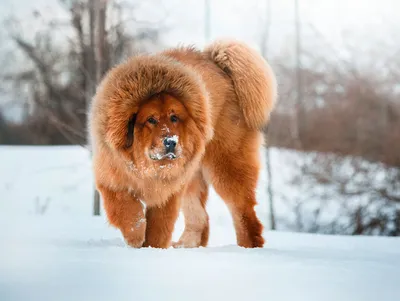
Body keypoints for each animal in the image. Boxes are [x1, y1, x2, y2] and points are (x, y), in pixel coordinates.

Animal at [88, 38, 276, 247]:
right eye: (151, 120)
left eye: (174, 118)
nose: (171, 141)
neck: (147, 168)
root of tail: (219, 66)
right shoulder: (111, 179)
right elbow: (126, 211)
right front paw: (137, 236)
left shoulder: (168, 193)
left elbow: (158, 227)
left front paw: (151, 247)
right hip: (192, 177)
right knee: (201, 218)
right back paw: (186, 245)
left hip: (226, 168)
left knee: (243, 214)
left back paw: (248, 247)